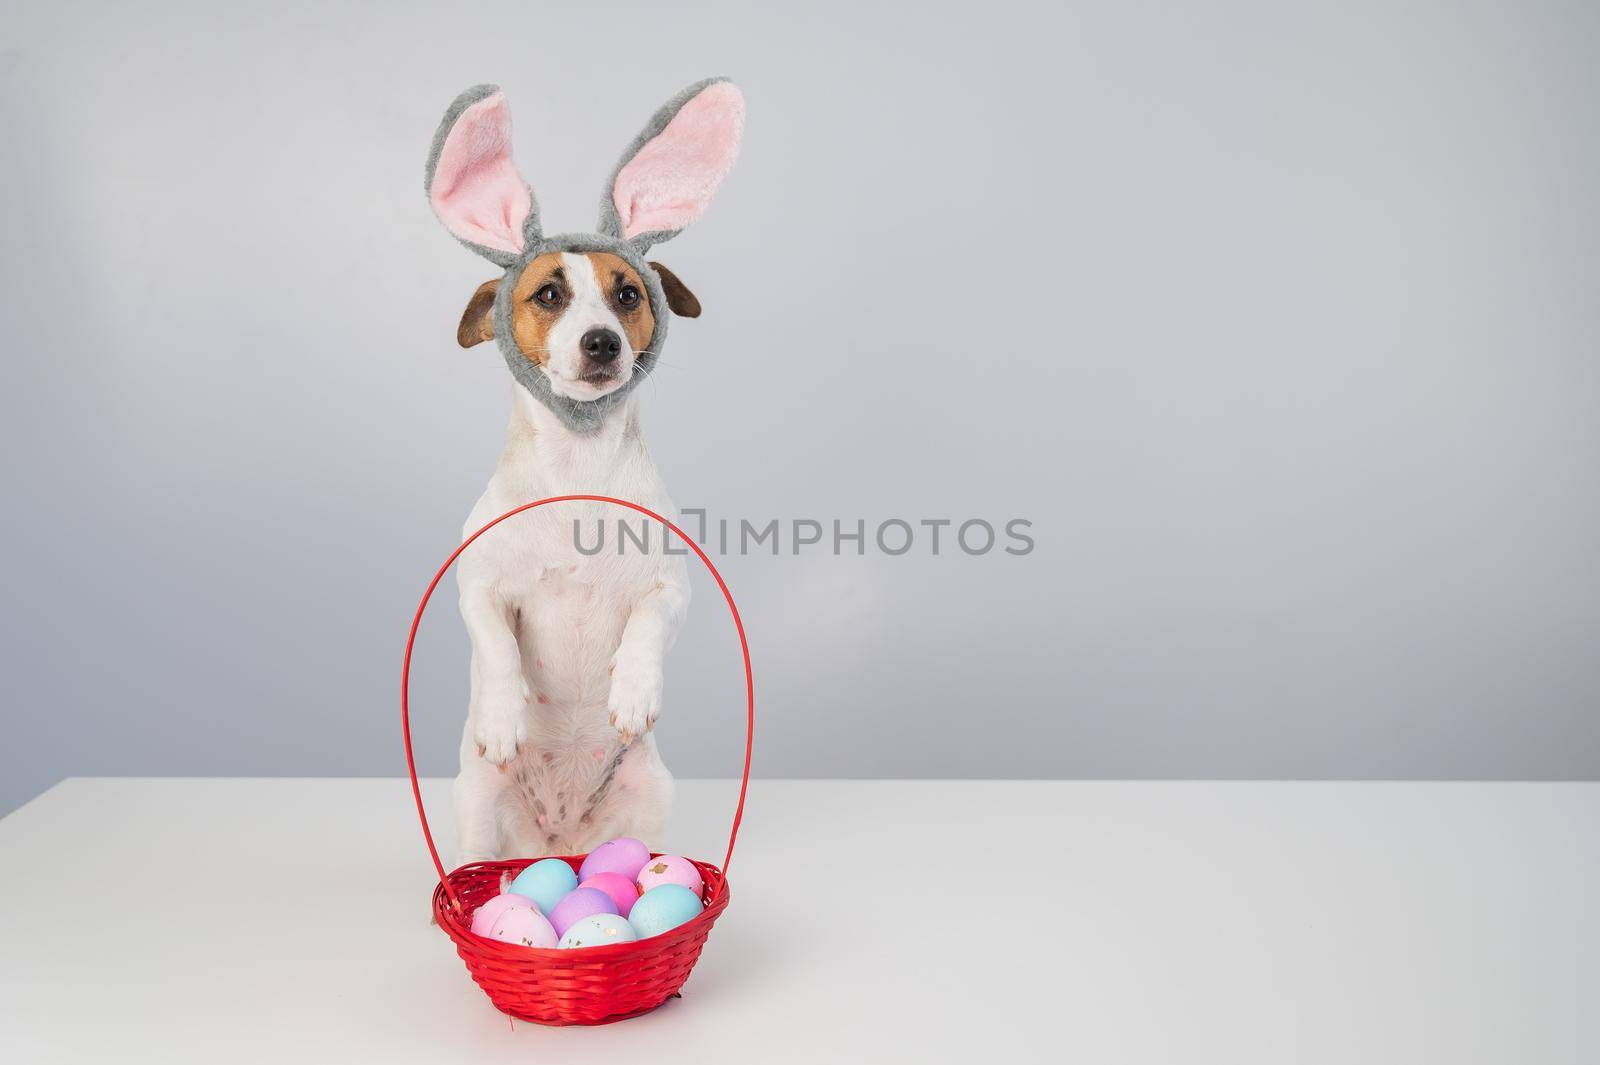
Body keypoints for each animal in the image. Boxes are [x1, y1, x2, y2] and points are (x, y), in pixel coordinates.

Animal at [425, 78, 748, 857]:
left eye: (628, 293)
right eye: (548, 294)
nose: (602, 341)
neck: (578, 465)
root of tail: (555, 842)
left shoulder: (669, 585)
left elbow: (648, 626)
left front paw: (633, 690)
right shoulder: (479, 585)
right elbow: (495, 643)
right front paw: (503, 714)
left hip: (650, 797)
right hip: (476, 807)